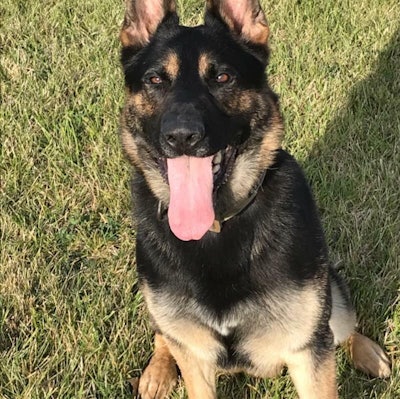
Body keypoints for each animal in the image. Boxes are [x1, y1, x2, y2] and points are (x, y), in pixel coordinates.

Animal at [119, 1, 390, 398]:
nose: (181, 136)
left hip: (328, 299)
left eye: (222, 78)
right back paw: (157, 370)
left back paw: (367, 351)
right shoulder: (196, 358)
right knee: (163, 335)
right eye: (155, 80)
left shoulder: (307, 352)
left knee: (343, 323)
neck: (217, 228)